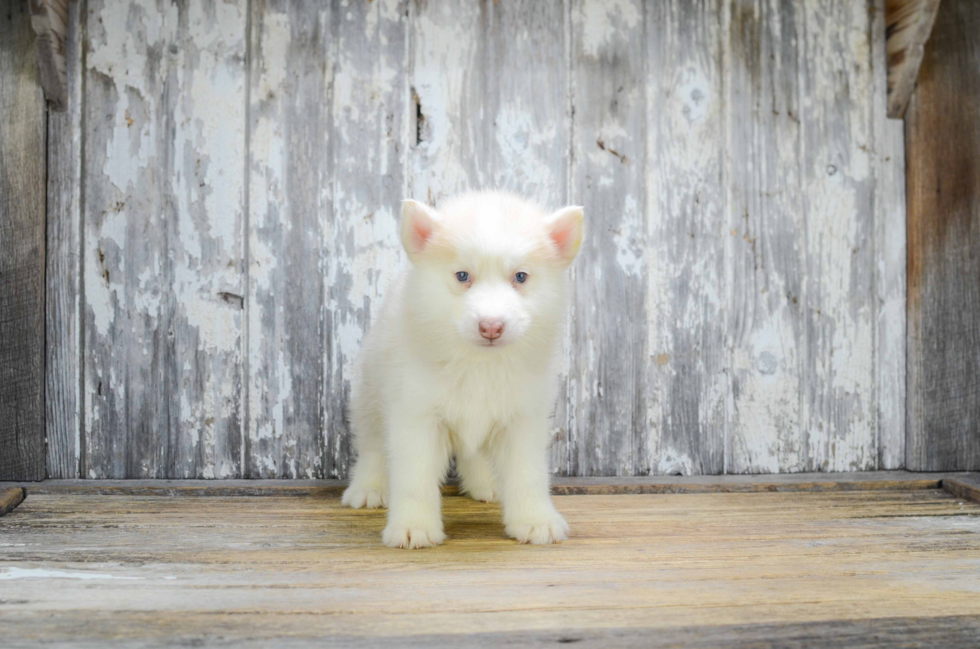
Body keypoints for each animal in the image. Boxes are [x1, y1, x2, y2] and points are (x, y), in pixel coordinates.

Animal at [344, 189, 584, 548]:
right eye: (462, 276)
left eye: (520, 277)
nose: (491, 326)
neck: (478, 363)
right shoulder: (416, 415)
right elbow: (414, 477)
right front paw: (414, 526)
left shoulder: (522, 418)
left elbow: (528, 474)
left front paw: (535, 520)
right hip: (371, 392)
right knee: (372, 444)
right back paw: (368, 488)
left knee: (475, 451)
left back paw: (486, 483)